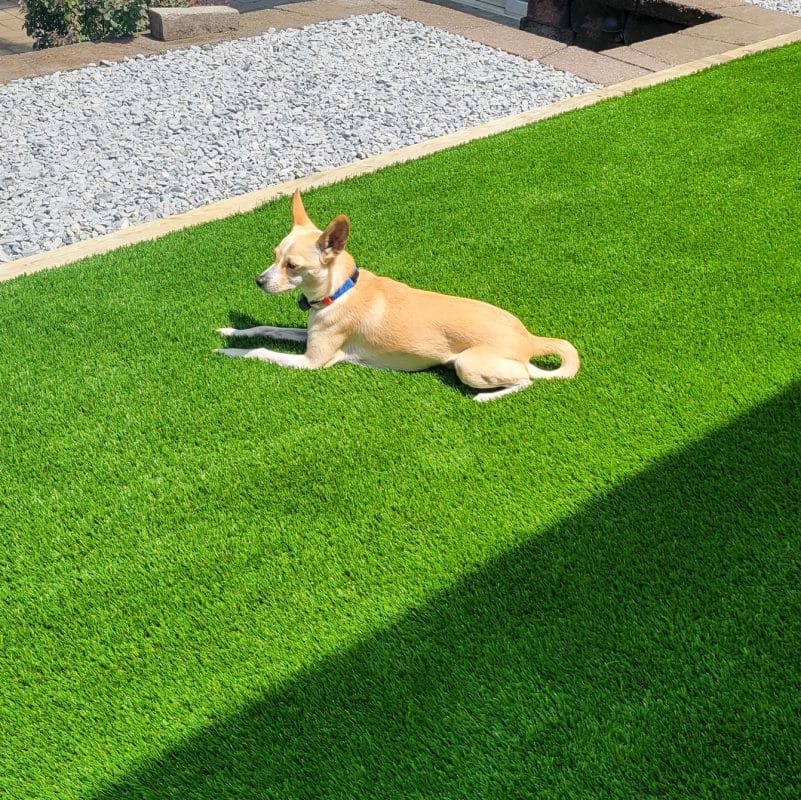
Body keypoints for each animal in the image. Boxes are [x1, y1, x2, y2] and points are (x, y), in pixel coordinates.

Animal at [216, 191, 580, 404]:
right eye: (274, 255)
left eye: (292, 266)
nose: (259, 281)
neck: (341, 291)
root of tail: (529, 339)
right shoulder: (309, 333)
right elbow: (268, 329)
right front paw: (231, 331)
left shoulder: (313, 361)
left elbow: (261, 351)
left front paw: (229, 351)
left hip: (468, 364)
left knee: (527, 379)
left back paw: (485, 398)